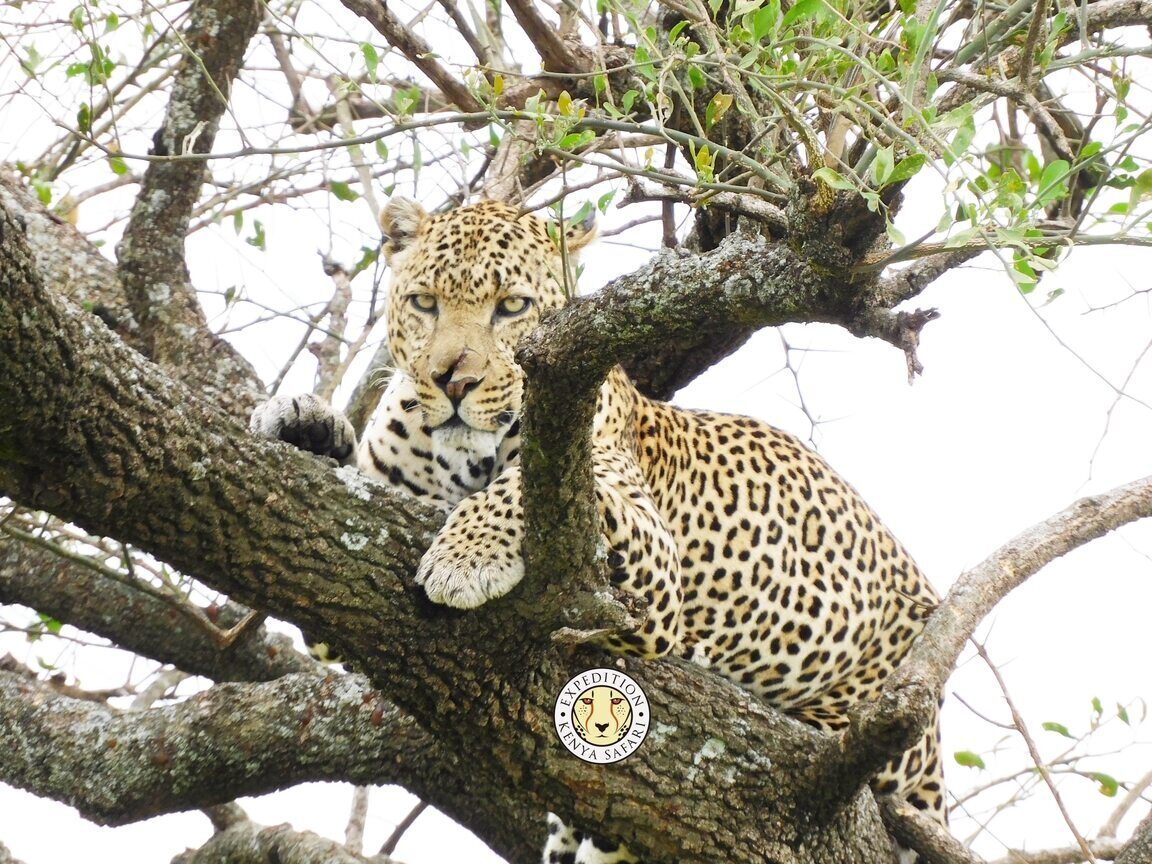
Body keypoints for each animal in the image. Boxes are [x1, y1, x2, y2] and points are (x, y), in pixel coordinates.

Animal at [252, 198, 944, 864]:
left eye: (512, 307)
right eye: (425, 303)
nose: (453, 381)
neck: (457, 461)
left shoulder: (643, 549)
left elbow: (529, 488)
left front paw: (464, 556)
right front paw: (304, 421)